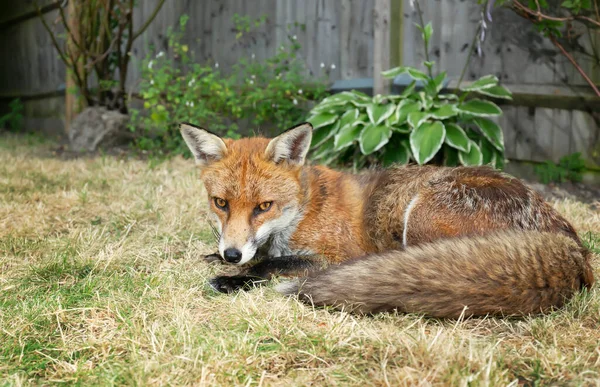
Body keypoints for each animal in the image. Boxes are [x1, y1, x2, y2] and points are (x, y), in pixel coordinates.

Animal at [179, 123, 596, 320]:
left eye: (264, 206)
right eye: (220, 203)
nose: (232, 255)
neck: (303, 209)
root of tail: (573, 246)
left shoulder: (334, 255)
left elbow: (272, 264)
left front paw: (234, 278)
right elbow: (263, 256)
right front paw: (219, 258)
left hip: (421, 212)